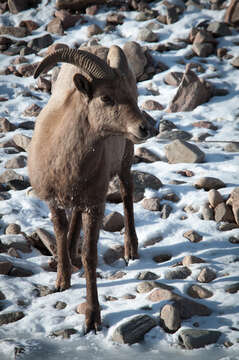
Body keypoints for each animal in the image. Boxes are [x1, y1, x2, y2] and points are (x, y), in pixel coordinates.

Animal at [28, 46, 149, 334]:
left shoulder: (95, 204)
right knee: (75, 217)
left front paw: (92, 319)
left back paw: (130, 250)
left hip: (126, 158)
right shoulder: (54, 201)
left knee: (127, 193)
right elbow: (60, 233)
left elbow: (90, 257)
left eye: (131, 95)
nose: (144, 128)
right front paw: (62, 280)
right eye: (106, 97)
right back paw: (71, 252)